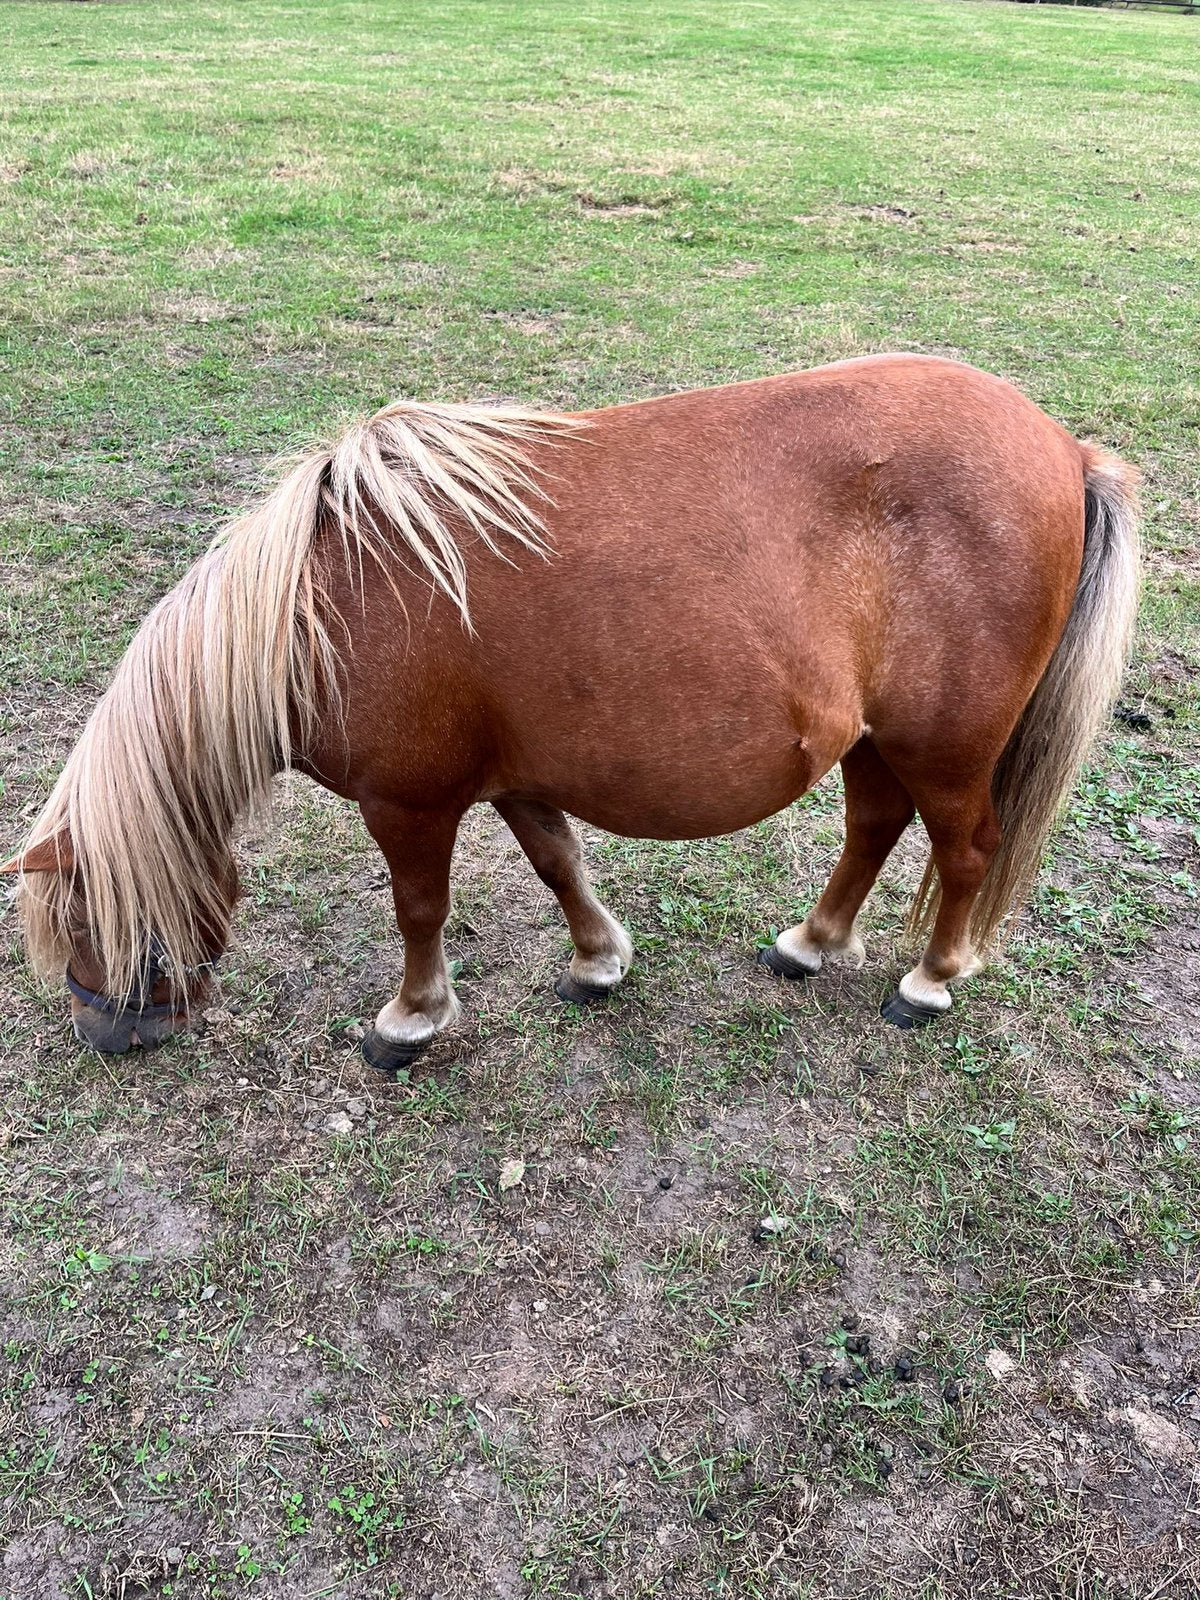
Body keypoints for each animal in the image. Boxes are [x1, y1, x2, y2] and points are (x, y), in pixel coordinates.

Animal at [3, 354, 1139, 1073]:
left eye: (90, 922)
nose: (108, 1037)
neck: (322, 608)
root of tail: (1064, 449)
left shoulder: (410, 805)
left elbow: (420, 910)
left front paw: (409, 1021)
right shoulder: (513, 779)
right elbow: (558, 863)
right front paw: (600, 961)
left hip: (944, 746)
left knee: (965, 851)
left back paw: (930, 981)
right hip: (873, 740)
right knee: (872, 826)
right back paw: (811, 942)